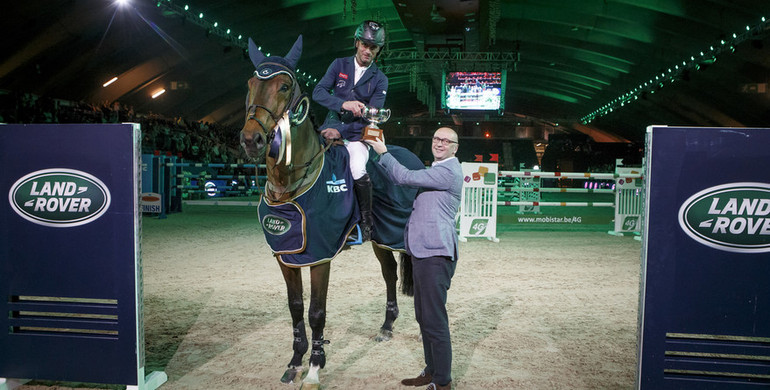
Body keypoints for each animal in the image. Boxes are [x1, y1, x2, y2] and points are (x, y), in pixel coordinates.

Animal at [240, 35, 416, 388]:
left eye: (284, 86)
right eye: (251, 83)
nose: (251, 139)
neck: (290, 183)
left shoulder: (320, 257)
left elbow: (316, 312)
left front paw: (314, 367)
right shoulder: (287, 254)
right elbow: (296, 308)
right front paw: (295, 361)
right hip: (380, 240)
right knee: (389, 273)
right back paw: (386, 327)